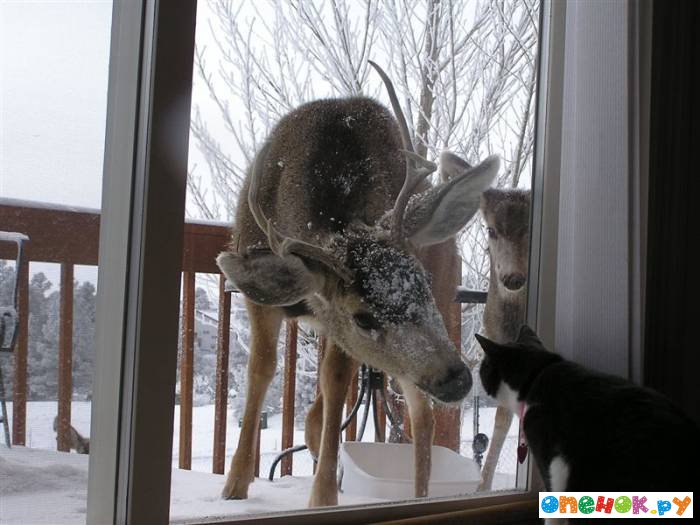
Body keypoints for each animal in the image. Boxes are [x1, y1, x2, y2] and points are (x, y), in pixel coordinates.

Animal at [217, 63, 498, 506]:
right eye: (363, 318)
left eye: (421, 284)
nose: (456, 378)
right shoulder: (263, 297)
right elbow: (262, 369)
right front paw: (234, 485)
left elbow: (334, 380)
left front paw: (322, 497)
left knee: (421, 415)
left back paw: (417, 496)